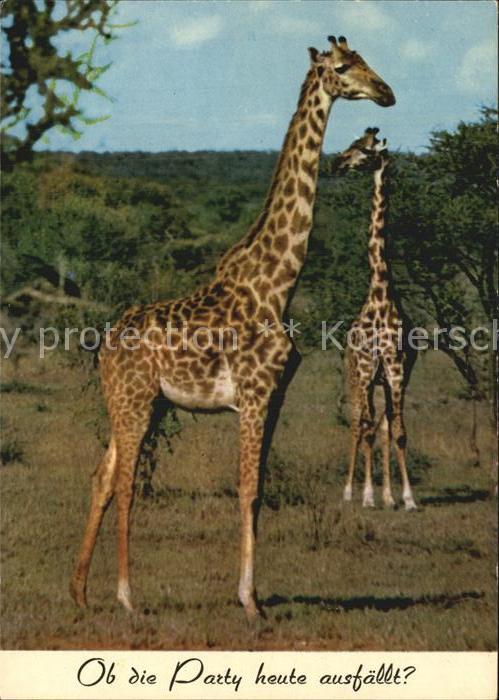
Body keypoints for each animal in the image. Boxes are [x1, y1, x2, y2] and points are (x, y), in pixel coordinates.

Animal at [70, 38, 396, 621]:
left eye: (367, 61)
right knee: (126, 483)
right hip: (134, 402)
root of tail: (104, 346)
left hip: (139, 403)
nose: (387, 93)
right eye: (343, 67)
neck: (278, 284)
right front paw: (249, 602)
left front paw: (253, 594)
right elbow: (245, 489)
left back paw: (80, 591)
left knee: (101, 477)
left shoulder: (276, 397)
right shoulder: (253, 394)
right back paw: (126, 596)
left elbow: (258, 489)